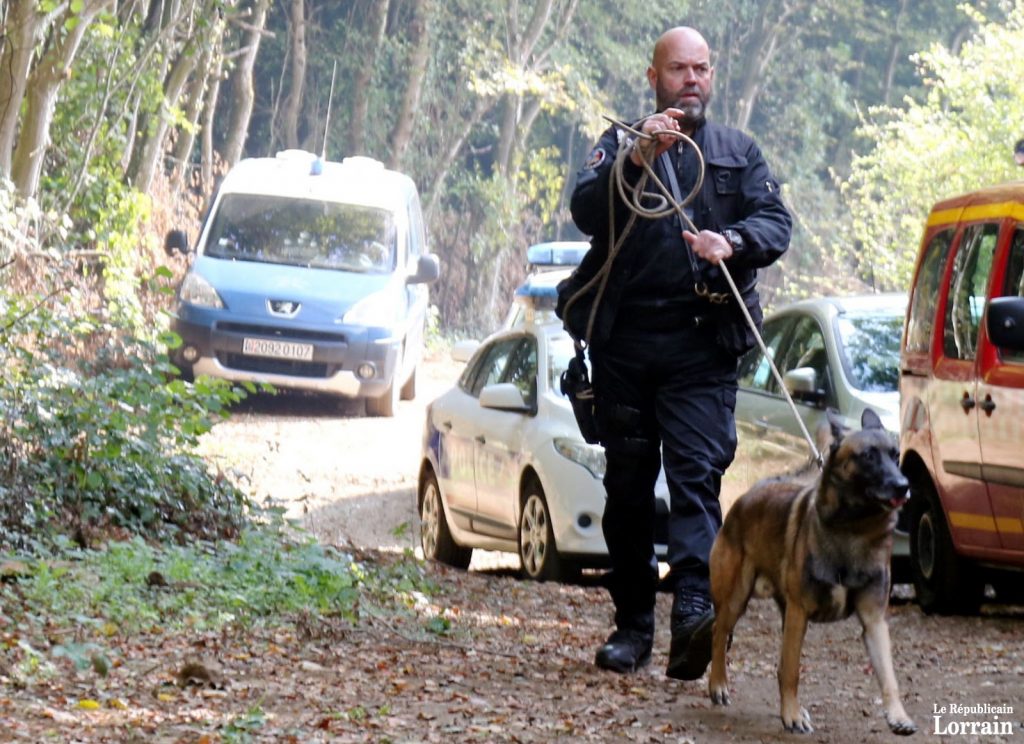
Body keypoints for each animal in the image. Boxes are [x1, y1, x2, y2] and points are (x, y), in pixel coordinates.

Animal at [708, 409, 917, 736]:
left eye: (895, 455)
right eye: (868, 456)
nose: (903, 485)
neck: (854, 529)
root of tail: (748, 495)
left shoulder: (874, 620)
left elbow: (889, 676)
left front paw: (898, 716)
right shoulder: (799, 612)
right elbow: (793, 671)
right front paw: (792, 716)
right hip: (736, 598)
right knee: (720, 632)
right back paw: (718, 685)